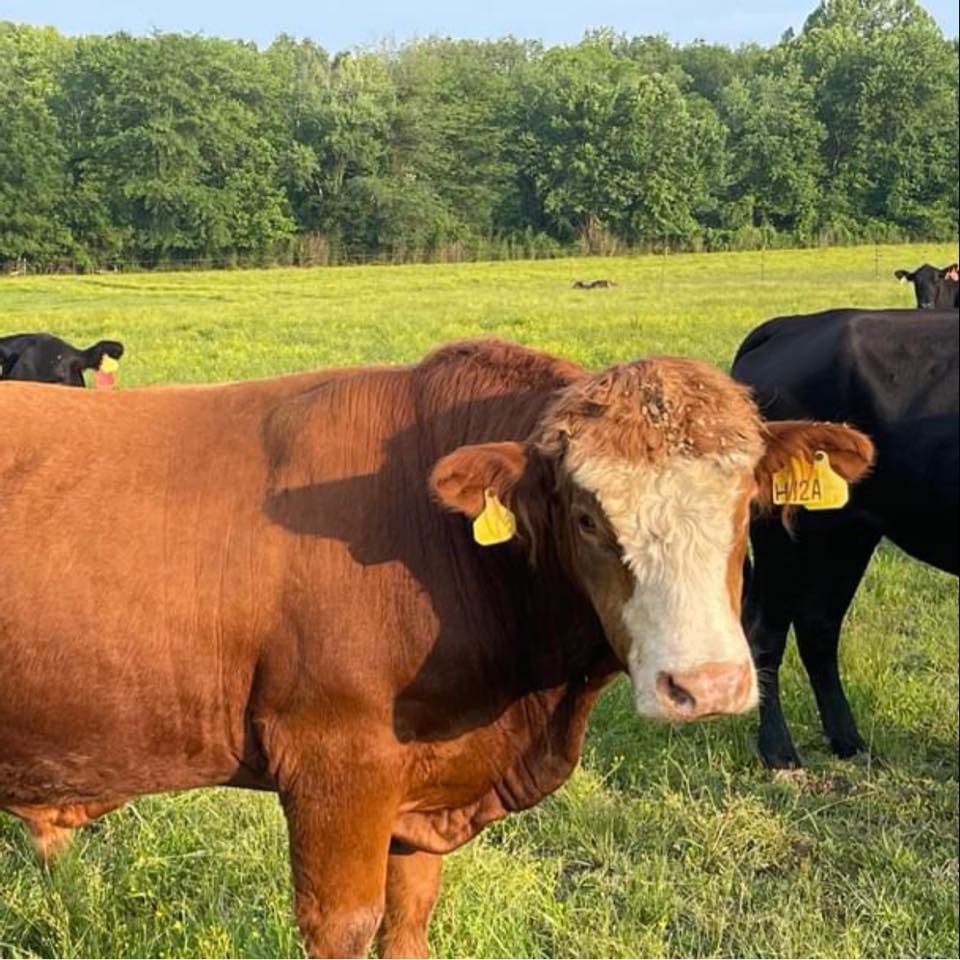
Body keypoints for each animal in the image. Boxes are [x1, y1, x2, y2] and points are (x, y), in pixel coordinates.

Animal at [0, 339, 873, 957]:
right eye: (586, 516)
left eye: (746, 503)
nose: (707, 685)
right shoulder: (334, 767)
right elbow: (347, 925)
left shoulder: (416, 796)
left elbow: (408, 922)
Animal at [733, 310, 959, 769]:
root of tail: (794, 323)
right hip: (783, 533)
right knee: (767, 632)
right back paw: (778, 751)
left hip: (846, 531)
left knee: (818, 628)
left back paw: (848, 740)